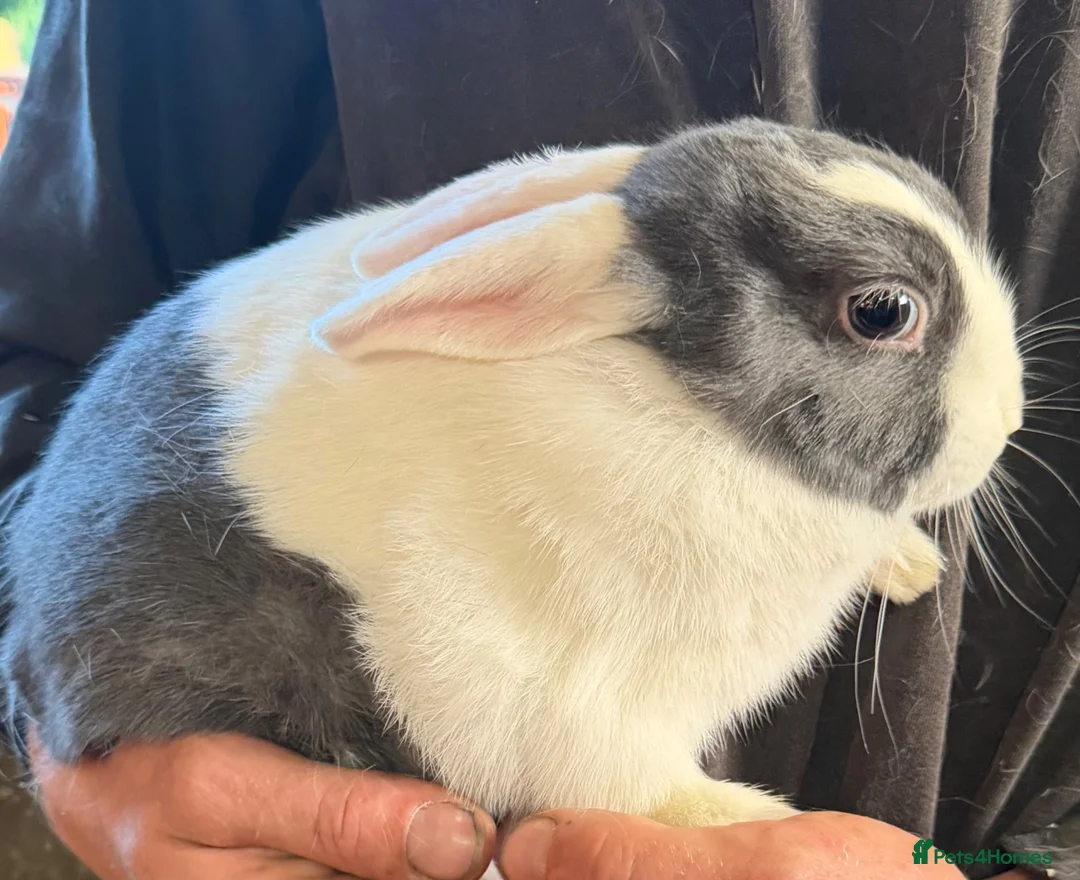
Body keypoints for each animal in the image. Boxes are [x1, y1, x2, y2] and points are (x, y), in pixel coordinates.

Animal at [0, 117, 1024, 828]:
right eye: (883, 312)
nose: (1011, 417)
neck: (692, 413)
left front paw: (912, 564)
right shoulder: (585, 729)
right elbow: (641, 791)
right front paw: (756, 820)